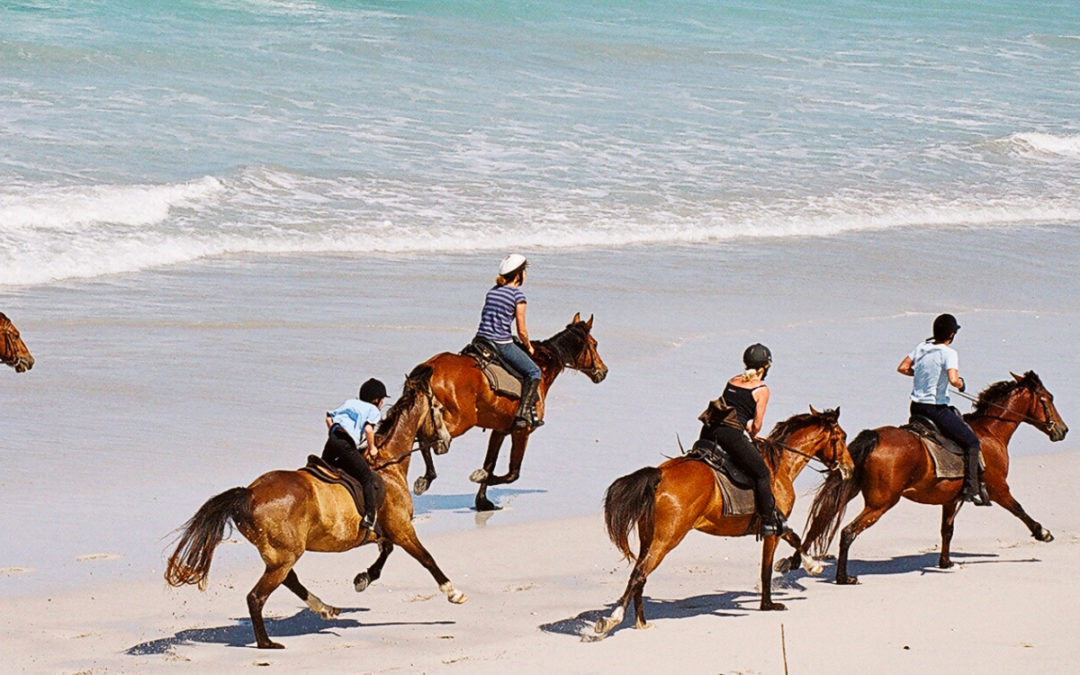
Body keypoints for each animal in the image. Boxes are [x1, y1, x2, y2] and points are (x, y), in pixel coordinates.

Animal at [165, 366, 462, 649]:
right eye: (438, 408)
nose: (446, 442)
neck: (388, 464)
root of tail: (249, 493)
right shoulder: (402, 529)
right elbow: (426, 558)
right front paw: (453, 592)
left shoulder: (387, 531)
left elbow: (386, 552)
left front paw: (363, 579)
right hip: (285, 554)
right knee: (257, 596)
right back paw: (267, 643)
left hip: (279, 554)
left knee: (289, 580)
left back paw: (326, 609)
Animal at [412, 312, 608, 511]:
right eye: (595, 344)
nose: (604, 371)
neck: (542, 365)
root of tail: (431, 366)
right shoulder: (522, 430)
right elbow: (513, 473)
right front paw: (483, 479)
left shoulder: (500, 430)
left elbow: (490, 464)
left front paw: (482, 501)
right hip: (461, 421)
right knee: (428, 436)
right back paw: (435, 457)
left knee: (421, 436)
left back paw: (426, 478)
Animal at [593, 407, 852, 636]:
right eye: (842, 437)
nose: (849, 468)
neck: (780, 466)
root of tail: (660, 474)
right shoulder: (772, 525)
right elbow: (767, 567)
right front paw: (770, 602)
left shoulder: (778, 522)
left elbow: (794, 538)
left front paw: (807, 565)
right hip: (666, 539)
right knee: (639, 574)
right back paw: (611, 620)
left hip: (649, 538)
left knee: (640, 575)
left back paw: (642, 623)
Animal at [796, 371, 1068, 585]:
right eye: (1049, 398)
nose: (1063, 430)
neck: (990, 432)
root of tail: (873, 436)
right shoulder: (998, 488)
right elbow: (1019, 509)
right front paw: (1042, 532)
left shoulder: (951, 499)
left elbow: (947, 530)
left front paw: (946, 562)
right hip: (881, 503)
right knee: (847, 532)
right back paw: (843, 577)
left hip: (852, 489)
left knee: (819, 523)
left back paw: (795, 562)